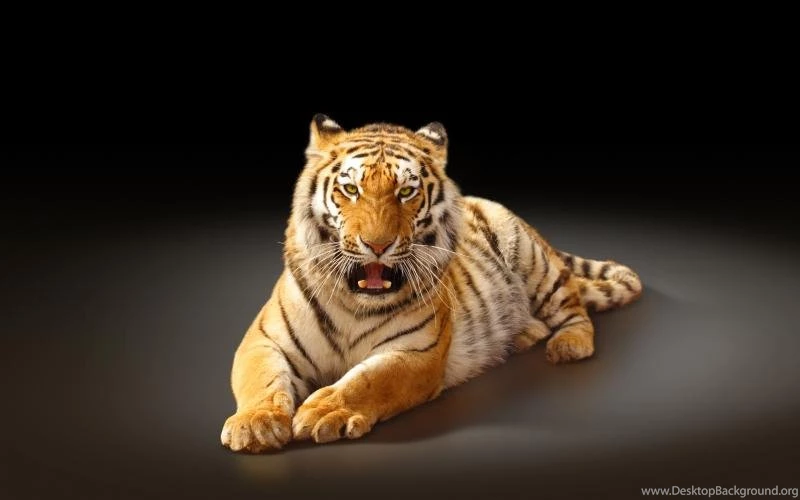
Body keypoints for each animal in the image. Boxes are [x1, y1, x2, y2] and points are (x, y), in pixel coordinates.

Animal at [220, 115, 642, 452]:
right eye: (351, 189)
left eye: (406, 191)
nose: (377, 245)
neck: (355, 303)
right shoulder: (263, 339)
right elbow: (261, 379)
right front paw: (255, 425)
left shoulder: (415, 353)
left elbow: (367, 380)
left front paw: (323, 411)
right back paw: (523, 334)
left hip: (533, 261)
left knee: (574, 307)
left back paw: (568, 344)